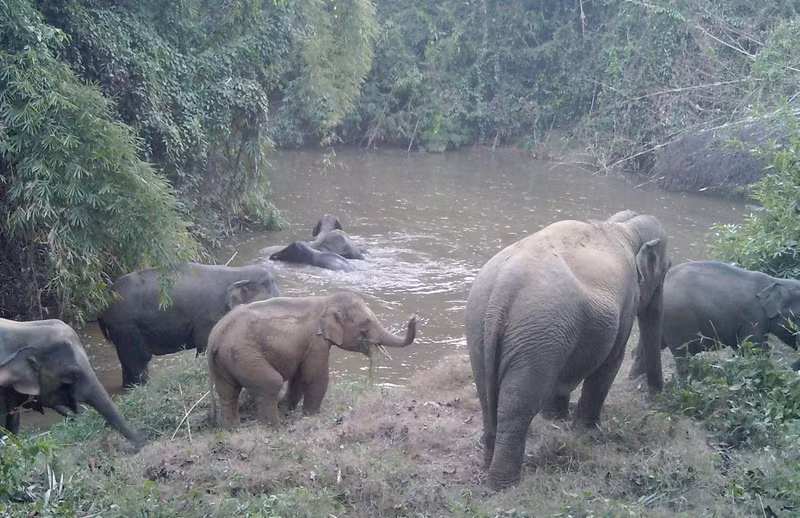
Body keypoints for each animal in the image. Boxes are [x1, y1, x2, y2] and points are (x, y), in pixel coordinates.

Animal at [98, 263, 280, 388]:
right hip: (127, 326)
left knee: (126, 361)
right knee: (138, 359)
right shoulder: (208, 317)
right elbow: (206, 345)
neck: (239, 271)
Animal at [207, 291, 417, 428]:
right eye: (366, 323)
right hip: (244, 356)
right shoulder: (316, 343)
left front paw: (290, 410)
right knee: (270, 384)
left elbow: (298, 378)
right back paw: (274, 428)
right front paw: (311, 416)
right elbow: (315, 378)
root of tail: (214, 338)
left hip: (225, 362)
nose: (414, 318)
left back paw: (232, 429)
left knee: (227, 393)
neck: (327, 301)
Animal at [465, 210, 670, 489]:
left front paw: (557, 419)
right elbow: (610, 363)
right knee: (517, 405)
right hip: (538, 334)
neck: (623, 227)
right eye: (666, 270)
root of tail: (501, 291)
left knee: (487, 396)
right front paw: (589, 433)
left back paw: (488, 465)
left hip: (482, 326)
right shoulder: (627, 300)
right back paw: (505, 484)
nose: (655, 397)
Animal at [629, 260, 800, 378]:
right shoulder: (754, 317)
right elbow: (754, 348)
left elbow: (740, 348)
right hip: (678, 320)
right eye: (798, 317)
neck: (776, 281)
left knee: (646, 348)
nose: (788, 370)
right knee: (683, 356)